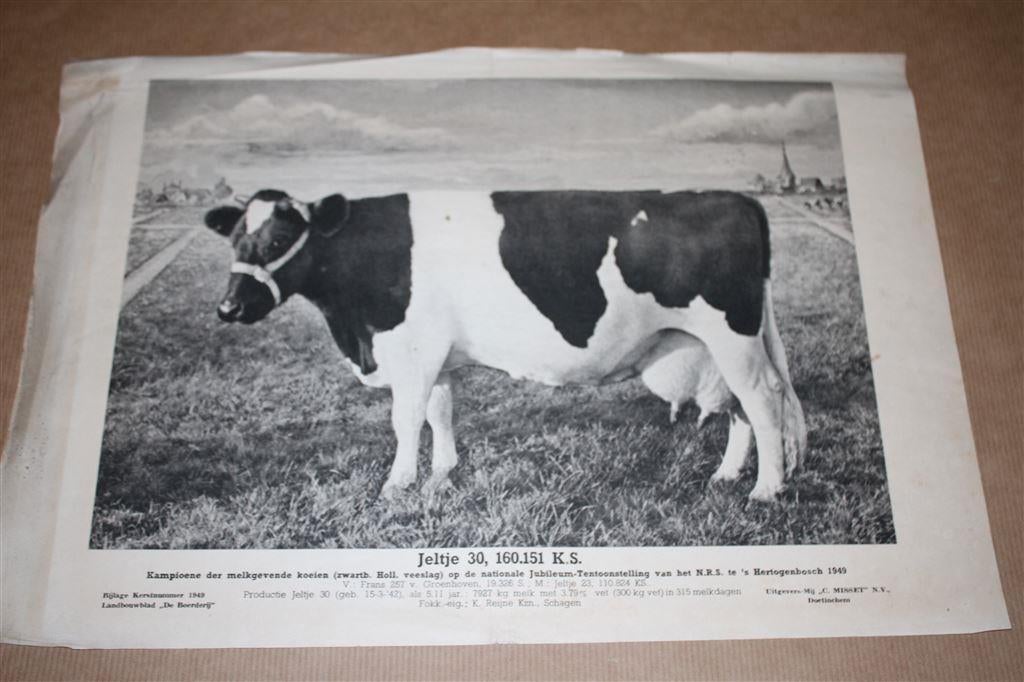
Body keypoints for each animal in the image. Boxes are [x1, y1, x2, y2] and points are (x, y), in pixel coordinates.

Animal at [204, 189, 807, 502]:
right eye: (234, 239)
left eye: (279, 240)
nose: (228, 308)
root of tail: (737, 197)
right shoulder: (439, 356)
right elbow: (440, 413)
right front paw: (443, 473)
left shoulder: (413, 352)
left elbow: (406, 420)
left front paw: (398, 485)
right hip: (716, 343)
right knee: (739, 406)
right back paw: (728, 475)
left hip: (733, 333)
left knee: (763, 400)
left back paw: (766, 489)